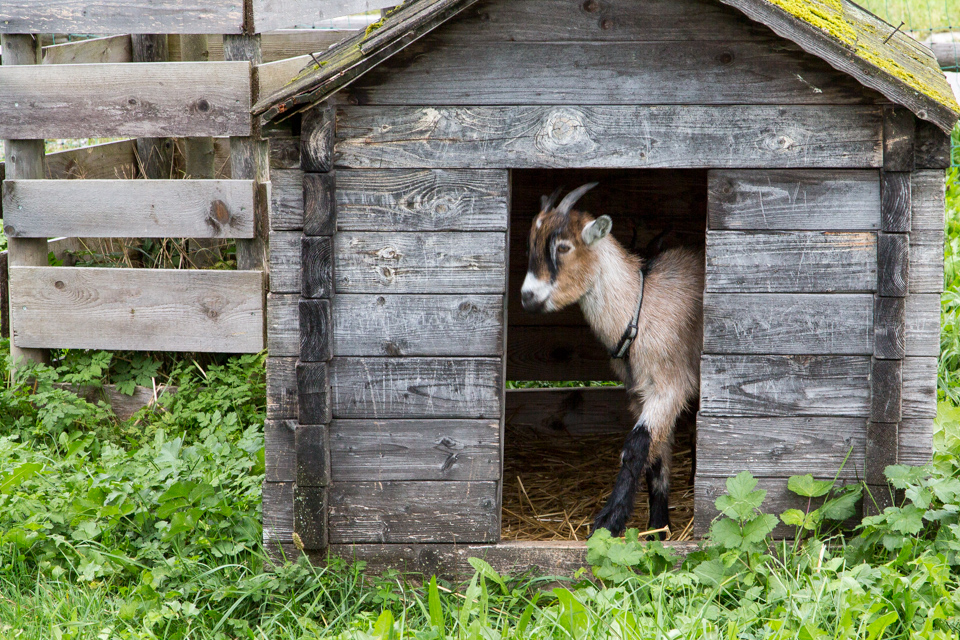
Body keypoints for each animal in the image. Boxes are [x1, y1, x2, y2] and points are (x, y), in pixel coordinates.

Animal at [520, 183, 704, 537]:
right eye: (531, 243)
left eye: (563, 246)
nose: (527, 297)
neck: (641, 308)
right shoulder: (638, 392)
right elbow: (656, 455)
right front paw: (657, 527)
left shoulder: (670, 386)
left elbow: (636, 447)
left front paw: (609, 521)